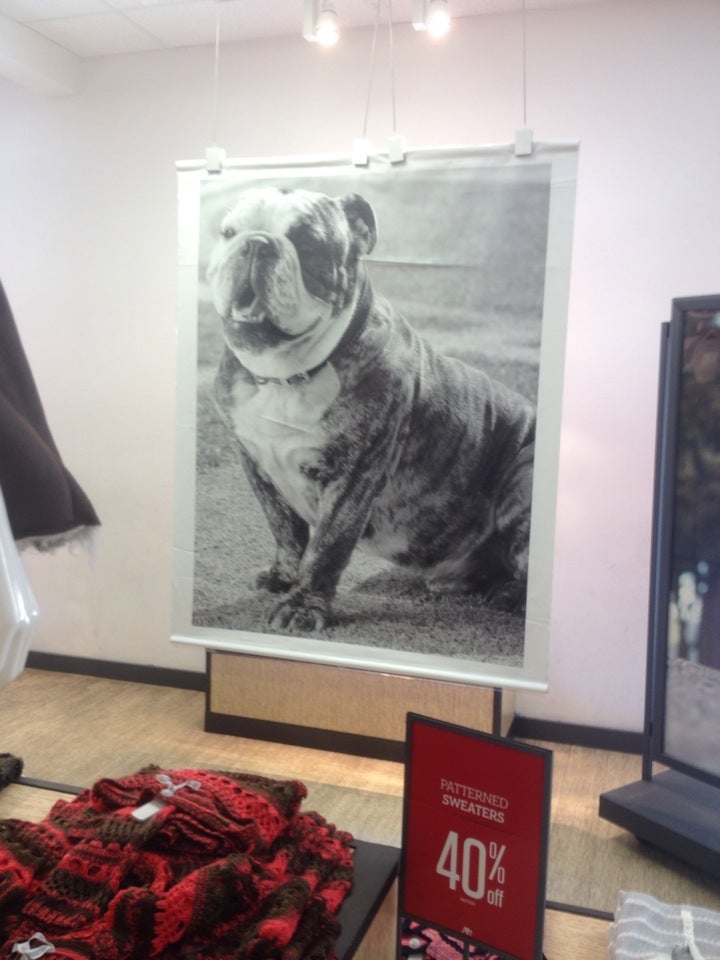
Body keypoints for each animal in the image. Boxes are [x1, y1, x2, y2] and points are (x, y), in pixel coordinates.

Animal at [208, 186, 535, 633]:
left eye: (308, 244)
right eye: (228, 233)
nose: (256, 243)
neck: (286, 374)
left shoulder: (353, 476)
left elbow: (327, 546)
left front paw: (303, 606)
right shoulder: (256, 462)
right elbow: (284, 529)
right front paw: (283, 577)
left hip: (525, 475)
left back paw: (510, 594)